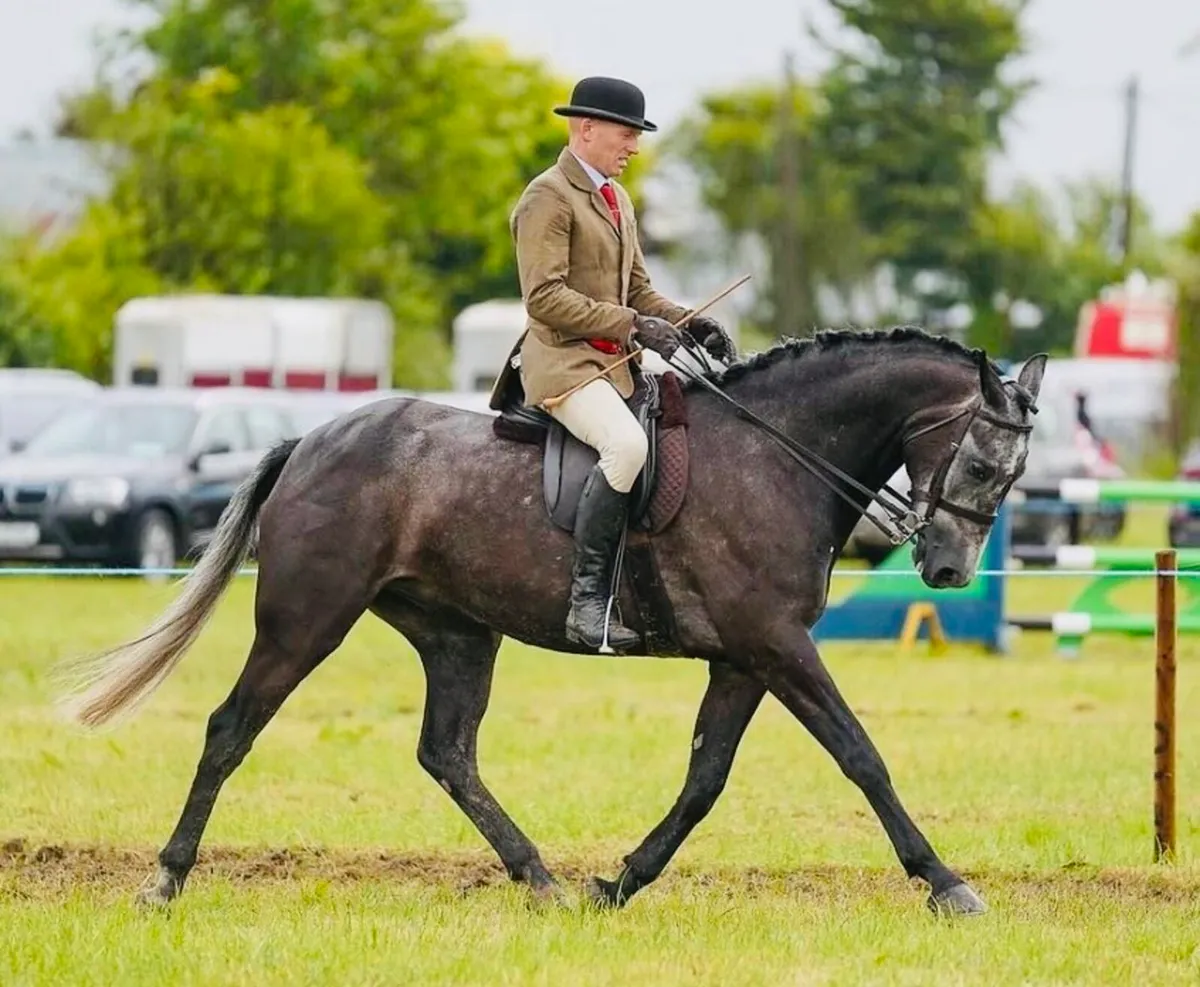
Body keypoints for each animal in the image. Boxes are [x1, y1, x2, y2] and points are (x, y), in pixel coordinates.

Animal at [55, 327, 1047, 917]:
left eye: (1013, 472)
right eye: (981, 461)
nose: (948, 569)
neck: (779, 454)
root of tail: (311, 440)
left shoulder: (743, 658)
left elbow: (705, 780)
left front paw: (619, 881)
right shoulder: (776, 645)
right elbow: (861, 755)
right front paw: (947, 883)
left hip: (458, 633)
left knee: (447, 753)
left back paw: (542, 879)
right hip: (307, 621)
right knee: (232, 728)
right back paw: (165, 879)